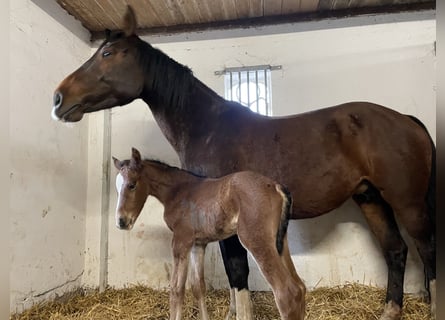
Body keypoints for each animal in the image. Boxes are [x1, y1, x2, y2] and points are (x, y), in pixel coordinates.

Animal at [112, 149, 306, 320]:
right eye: (117, 188)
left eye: (132, 184)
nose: (121, 222)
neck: (178, 190)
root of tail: (276, 186)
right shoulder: (198, 244)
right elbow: (198, 286)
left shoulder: (180, 241)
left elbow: (177, 289)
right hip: (280, 242)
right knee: (300, 287)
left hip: (256, 241)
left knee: (287, 293)